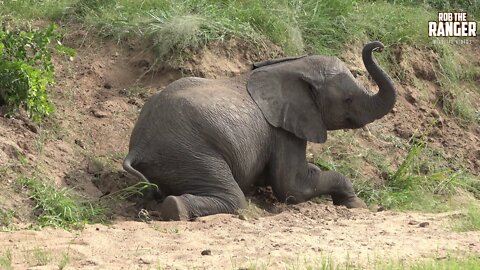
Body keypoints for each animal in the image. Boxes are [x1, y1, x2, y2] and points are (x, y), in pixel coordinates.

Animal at [124, 41, 398, 220]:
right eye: (348, 100)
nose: (379, 46)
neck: (291, 66)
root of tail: (138, 146)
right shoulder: (283, 131)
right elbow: (292, 188)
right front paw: (357, 205)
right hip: (190, 153)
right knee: (234, 197)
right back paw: (175, 209)